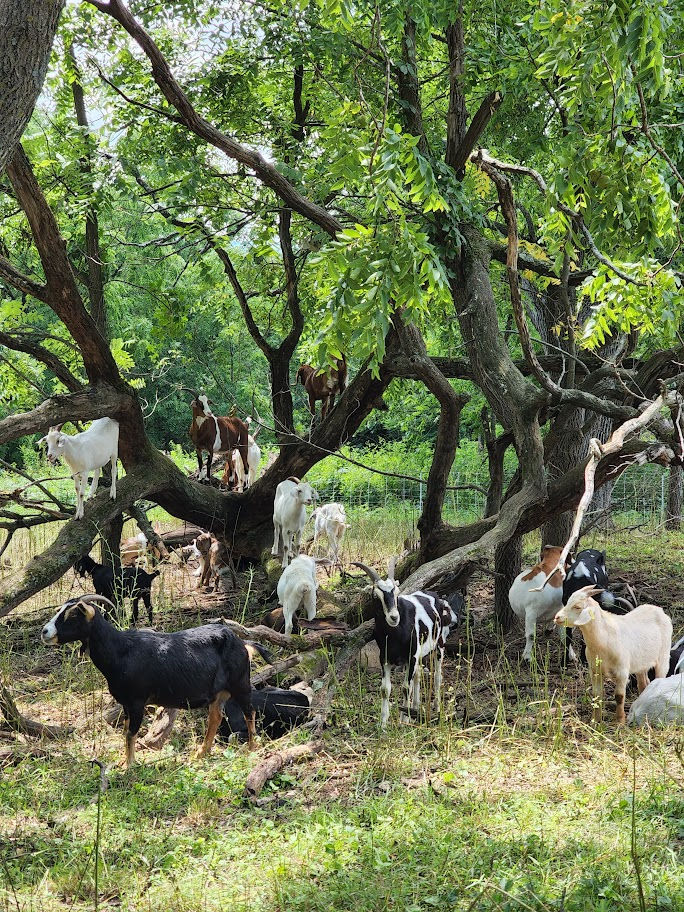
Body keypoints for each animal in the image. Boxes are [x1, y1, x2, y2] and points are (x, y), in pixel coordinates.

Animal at [41, 595, 260, 767]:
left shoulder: (137, 702)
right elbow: (126, 731)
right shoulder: (126, 705)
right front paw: (123, 761)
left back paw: (252, 748)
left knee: (249, 712)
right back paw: (200, 754)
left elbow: (131, 733)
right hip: (218, 693)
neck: (121, 651)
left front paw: (128, 766)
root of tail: (241, 642)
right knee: (216, 717)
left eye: (72, 615)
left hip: (240, 683)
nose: (45, 631)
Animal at [354, 559, 461, 728]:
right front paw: (383, 723)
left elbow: (405, 687)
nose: (394, 617)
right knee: (418, 675)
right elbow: (385, 689)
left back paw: (437, 708)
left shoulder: (411, 657)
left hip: (439, 644)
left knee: (437, 676)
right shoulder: (385, 659)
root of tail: (436, 596)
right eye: (376, 596)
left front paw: (403, 720)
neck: (395, 633)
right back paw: (416, 707)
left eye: (397, 593)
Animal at [554, 585, 672, 723]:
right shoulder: (595, 671)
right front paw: (595, 720)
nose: (557, 617)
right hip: (641, 663)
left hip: (663, 656)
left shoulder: (622, 672)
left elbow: (619, 696)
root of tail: (658, 610)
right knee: (643, 684)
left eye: (577, 607)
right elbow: (597, 695)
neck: (603, 640)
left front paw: (620, 721)